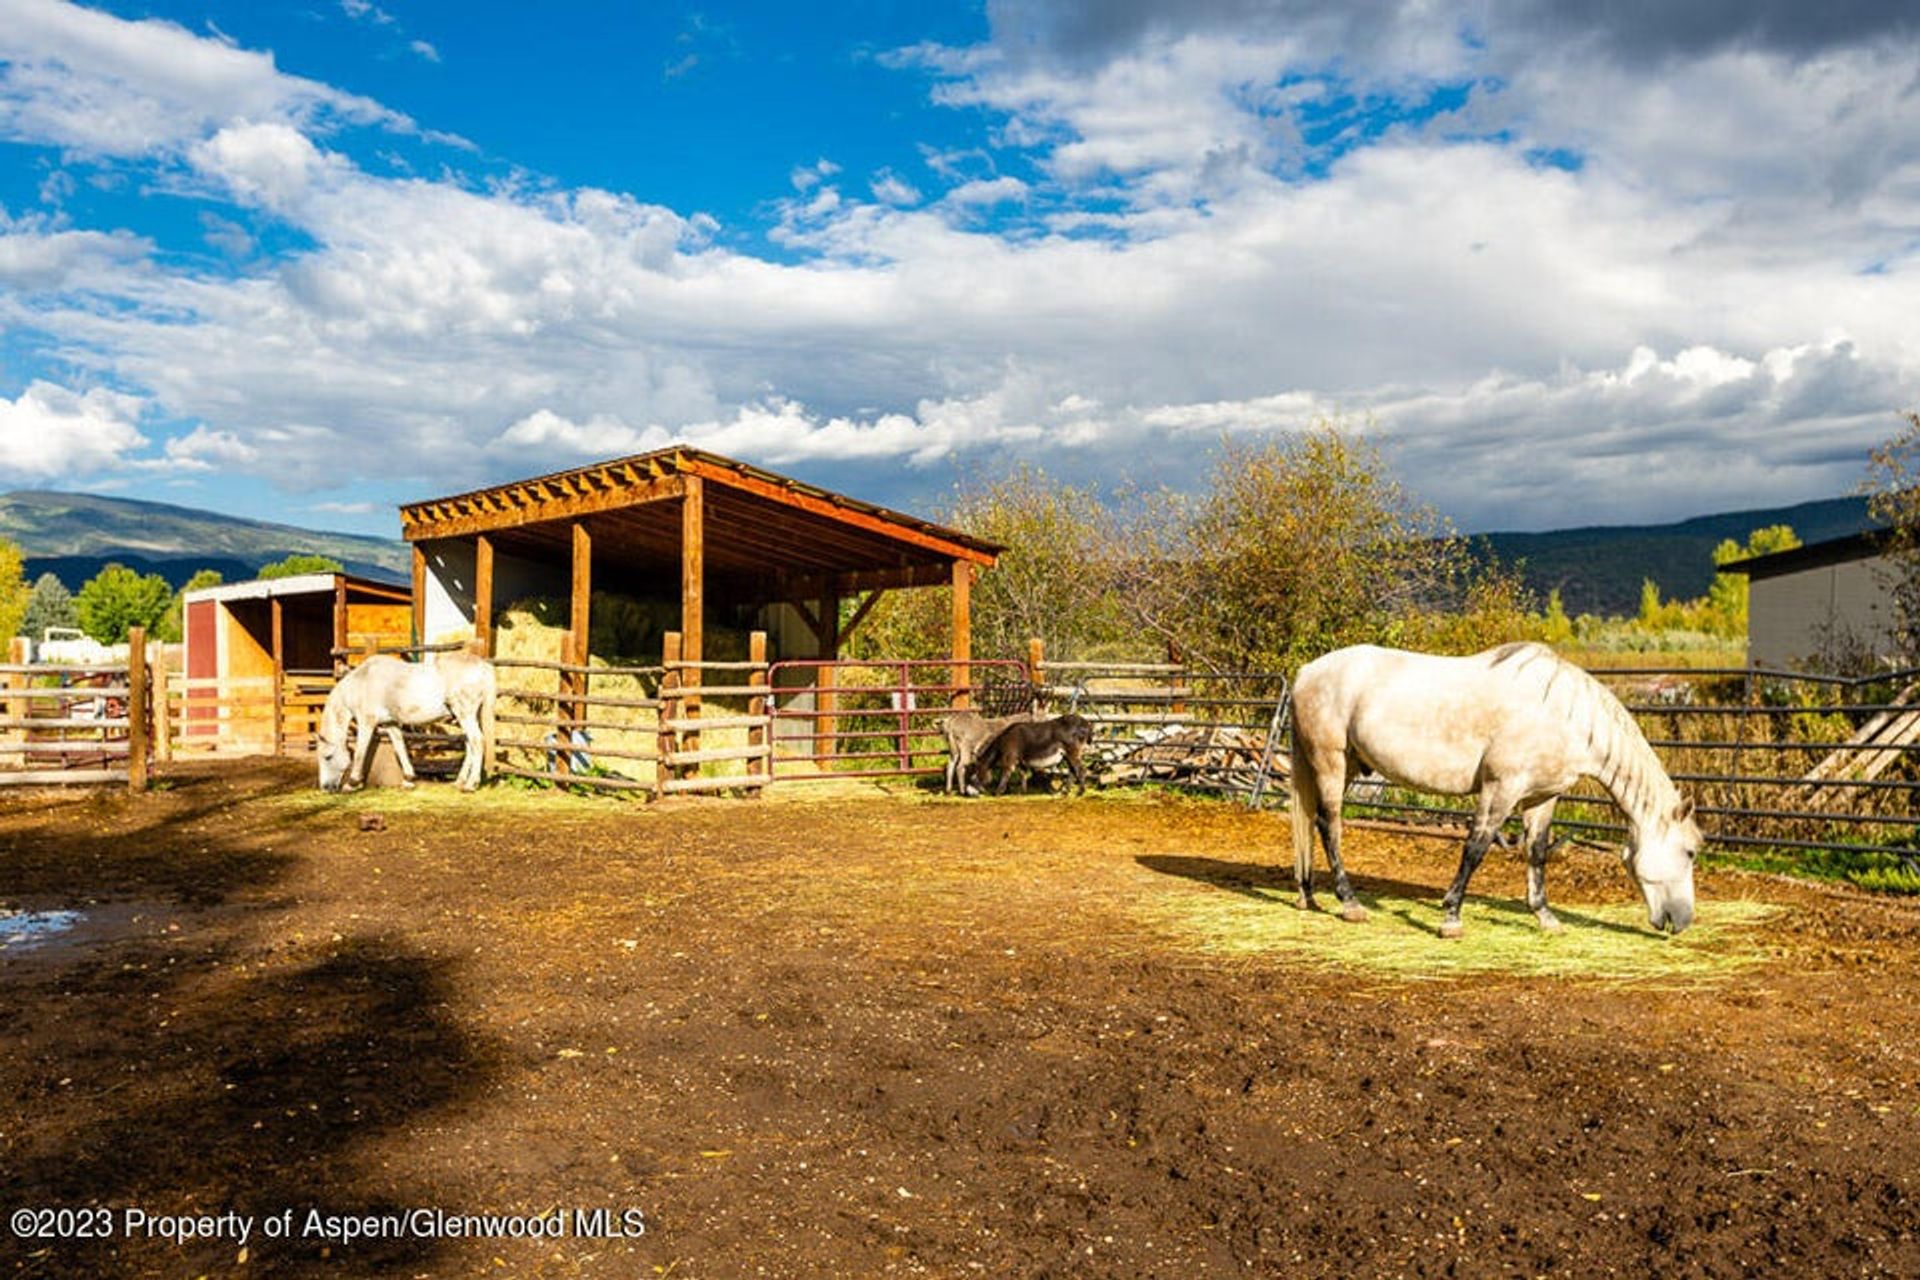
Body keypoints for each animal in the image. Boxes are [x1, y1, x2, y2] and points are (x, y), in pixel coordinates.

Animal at [316, 656, 499, 794]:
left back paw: (471, 784)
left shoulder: (366, 723)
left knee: (477, 742)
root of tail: (483, 666)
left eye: (328, 757)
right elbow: (400, 748)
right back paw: (460, 781)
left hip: (465, 714)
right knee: (470, 745)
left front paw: (352, 783)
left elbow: (360, 753)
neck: (362, 682)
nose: (325, 787)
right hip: (465, 716)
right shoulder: (390, 723)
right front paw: (409, 779)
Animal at [1282, 644, 1704, 936]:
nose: (1684, 920)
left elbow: (1536, 853)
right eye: (1690, 852)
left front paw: (1546, 917)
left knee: (1312, 821)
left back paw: (1307, 894)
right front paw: (1451, 917)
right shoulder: (1501, 788)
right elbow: (1476, 848)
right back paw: (1349, 903)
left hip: (1345, 764)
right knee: (1329, 825)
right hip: (1331, 763)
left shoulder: (1541, 798)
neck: (1564, 715)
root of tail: (1306, 672)